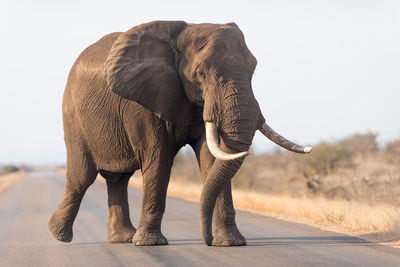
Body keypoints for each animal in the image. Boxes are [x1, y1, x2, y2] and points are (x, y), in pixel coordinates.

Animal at [48, 19, 310, 248]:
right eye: (201, 74)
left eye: (253, 70)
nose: (207, 240)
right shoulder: (142, 100)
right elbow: (159, 160)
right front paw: (151, 243)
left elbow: (213, 158)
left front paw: (230, 243)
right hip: (73, 116)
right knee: (82, 177)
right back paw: (58, 234)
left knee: (118, 179)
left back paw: (122, 238)